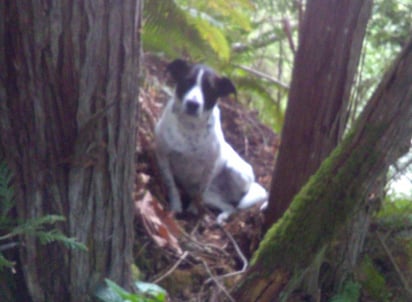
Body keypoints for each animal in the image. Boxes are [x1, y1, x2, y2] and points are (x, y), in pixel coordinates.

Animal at [154, 59, 268, 224]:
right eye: (187, 81)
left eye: (209, 89)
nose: (192, 104)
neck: (190, 127)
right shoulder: (162, 156)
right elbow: (171, 186)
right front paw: (176, 207)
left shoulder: (210, 167)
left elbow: (199, 193)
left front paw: (193, 211)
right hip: (212, 196)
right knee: (230, 207)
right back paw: (222, 217)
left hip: (235, 171)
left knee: (235, 204)